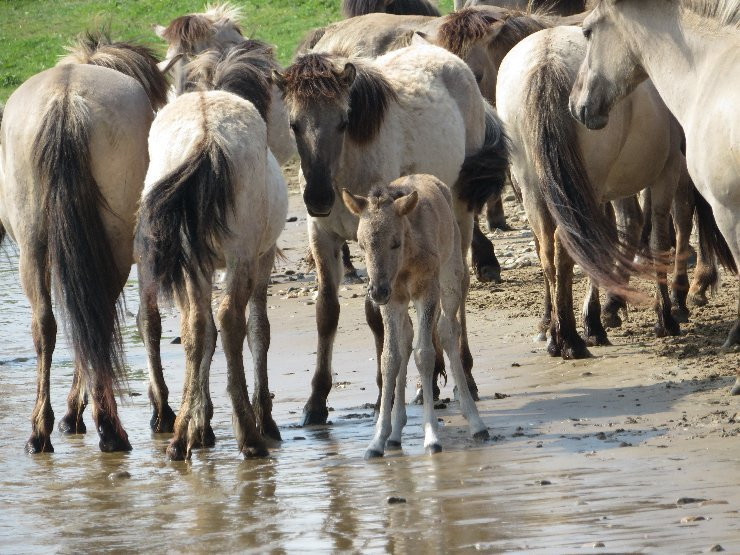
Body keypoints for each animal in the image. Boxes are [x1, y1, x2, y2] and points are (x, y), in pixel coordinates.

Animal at [0, 32, 166, 454]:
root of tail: (66, 98)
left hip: (34, 247)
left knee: (50, 325)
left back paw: (43, 431)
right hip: (115, 244)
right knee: (91, 318)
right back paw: (107, 427)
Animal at [136, 47, 290, 458]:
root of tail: (206, 133)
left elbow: (203, 336)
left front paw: (198, 425)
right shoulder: (261, 260)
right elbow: (259, 330)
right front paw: (261, 417)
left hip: (195, 261)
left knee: (197, 325)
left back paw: (178, 439)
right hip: (241, 257)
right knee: (231, 319)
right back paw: (249, 433)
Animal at [342, 176, 492, 458]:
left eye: (395, 242)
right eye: (361, 245)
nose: (376, 291)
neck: (404, 263)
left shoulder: (427, 291)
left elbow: (424, 354)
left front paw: (432, 436)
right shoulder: (394, 301)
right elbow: (390, 358)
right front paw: (377, 440)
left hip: (450, 274)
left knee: (448, 330)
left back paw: (476, 423)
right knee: (406, 338)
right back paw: (395, 434)